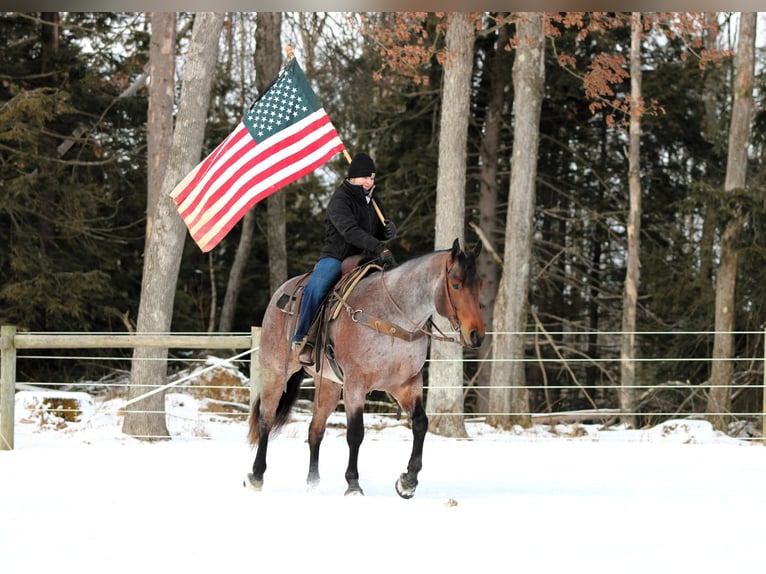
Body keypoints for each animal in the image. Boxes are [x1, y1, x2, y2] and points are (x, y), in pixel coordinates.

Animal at [246, 238, 486, 500]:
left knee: (315, 430)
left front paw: (408, 481)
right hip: (276, 372)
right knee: (266, 419)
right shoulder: (355, 384)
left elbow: (421, 423)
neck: (391, 317)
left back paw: (313, 484)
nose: (477, 335)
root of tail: (280, 295)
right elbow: (356, 433)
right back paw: (256, 476)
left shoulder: (407, 383)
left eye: (479, 284)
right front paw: (353, 484)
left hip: (328, 385)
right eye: (456, 284)